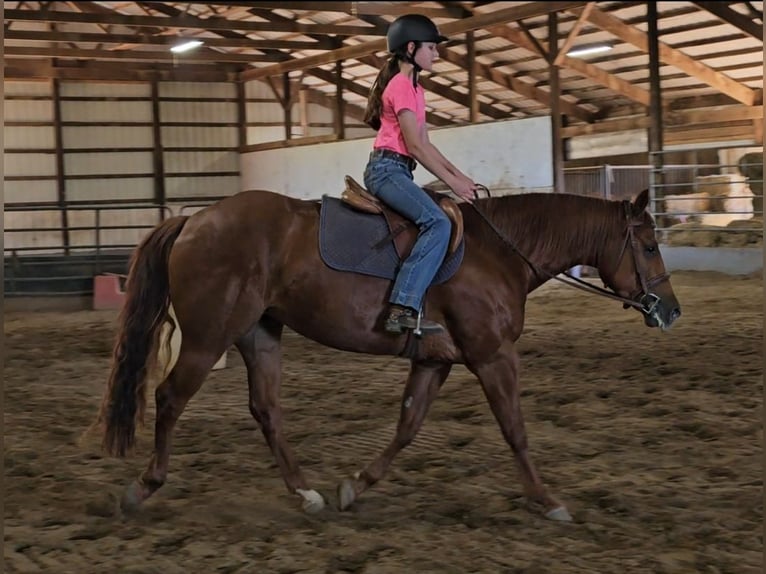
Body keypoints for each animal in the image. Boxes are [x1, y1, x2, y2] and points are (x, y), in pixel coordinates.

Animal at [97, 184, 684, 520]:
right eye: (649, 245)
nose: (672, 311)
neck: (500, 254)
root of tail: (194, 220)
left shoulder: (434, 361)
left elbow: (407, 426)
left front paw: (355, 488)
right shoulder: (493, 356)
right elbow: (515, 429)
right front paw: (548, 500)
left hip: (259, 333)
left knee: (265, 409)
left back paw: (306, 494)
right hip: (207, 337)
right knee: (170, 397)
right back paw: (143, 488)